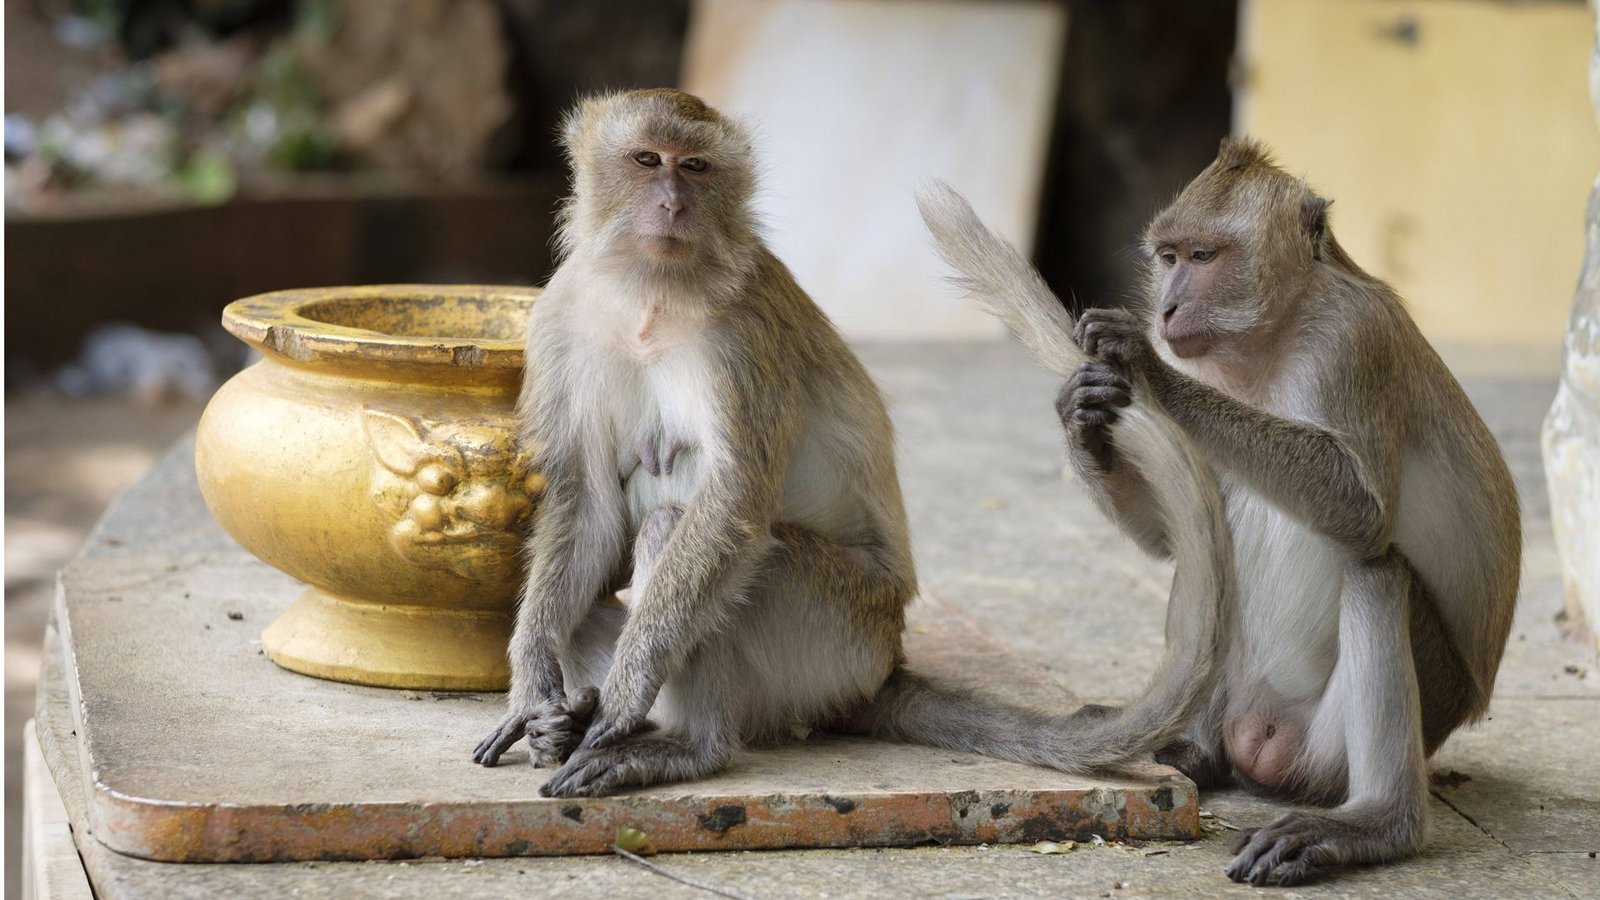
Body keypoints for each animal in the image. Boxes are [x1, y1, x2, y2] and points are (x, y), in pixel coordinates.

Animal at [472, 88, 1235, 799]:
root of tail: (883, 670)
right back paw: (582, 713)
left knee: (680, 529)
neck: (650, 298)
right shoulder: (560, 316)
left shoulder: (741, 331)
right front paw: (534, 687)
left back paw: (693, 747)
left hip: (835, 630)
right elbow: (586, 502)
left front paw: (624, 699)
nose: (671, 204)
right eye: (645, 160)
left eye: (694, 167)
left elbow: (732, 505)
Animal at [917, 138, 1521, 886]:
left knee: (1377, 568)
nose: (1169, 307)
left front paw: (1147, 367)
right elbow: (1171, 539)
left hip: (1332, 748)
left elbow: (1364, 513)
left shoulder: (1354, 342)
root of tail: (1257, 743)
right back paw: (1192, 753)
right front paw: (1082, 414)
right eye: (1169, 256)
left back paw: (1377, 822)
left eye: (1205, 257)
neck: (1274, 336)